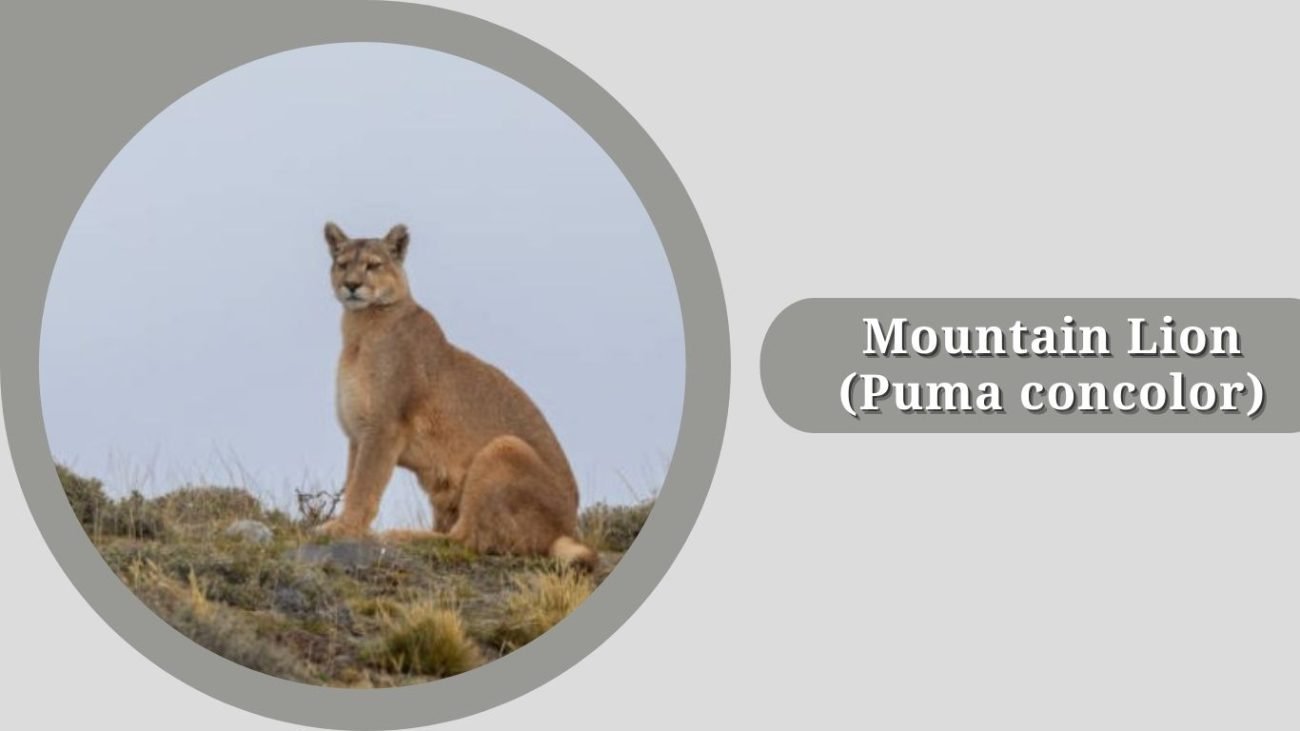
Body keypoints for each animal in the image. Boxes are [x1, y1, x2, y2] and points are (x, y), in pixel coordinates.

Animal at [314, 221, 598, 571]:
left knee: (467, 540)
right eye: (342, 265)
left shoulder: (383, 426)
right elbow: (354, 478)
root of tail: (567, 528)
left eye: (372, 265)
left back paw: (403, 535)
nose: (351, 285)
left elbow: (364, 484)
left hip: (504, 447)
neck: (360, 331)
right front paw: (343, 524)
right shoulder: (358, 433)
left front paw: (343, 528)